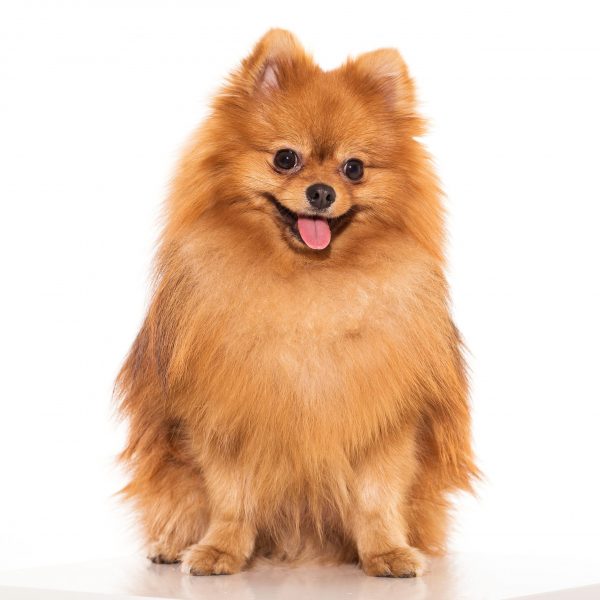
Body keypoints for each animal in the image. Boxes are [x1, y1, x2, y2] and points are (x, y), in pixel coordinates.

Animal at [116, 30, 478, 580]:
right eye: (285, 158)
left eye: (354, 168)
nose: (322, 192)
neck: (309, 286)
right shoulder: (225, 416)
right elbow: (230, 498)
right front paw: (220, 550)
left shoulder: (386, 422)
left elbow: (376, 497)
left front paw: (385, 552)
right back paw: (172, 545)